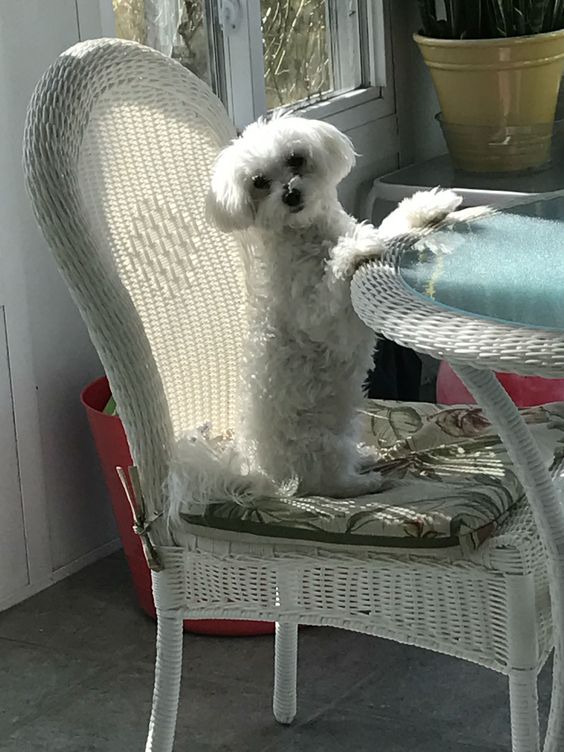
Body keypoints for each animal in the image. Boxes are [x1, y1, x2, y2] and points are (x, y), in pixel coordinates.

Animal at [207, 114, 462, 500]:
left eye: (295, 159)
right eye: (259, 182)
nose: (291, 194)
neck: (308, 235)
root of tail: (263, 476)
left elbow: (389, 226)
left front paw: (429, 206)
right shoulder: (322, 318)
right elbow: (336, 280)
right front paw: (354, 252)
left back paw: (366, 457)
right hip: (321, 445)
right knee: (327, 483)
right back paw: (365, 482)